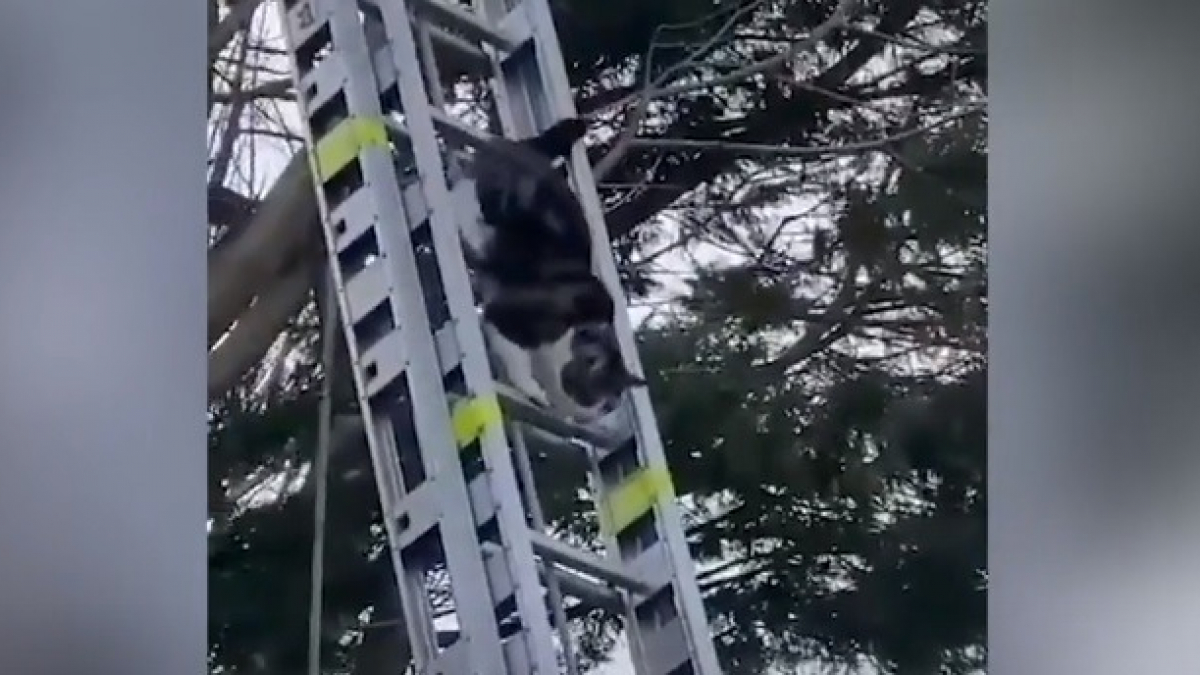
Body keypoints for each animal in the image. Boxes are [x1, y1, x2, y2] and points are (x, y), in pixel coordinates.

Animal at [453, 117, 648, 420]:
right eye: (596, 392)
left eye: (612, 401)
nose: (603, 410)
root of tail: (526, 147)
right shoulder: (508, 316)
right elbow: (514, 355)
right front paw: (534, 392)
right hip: (495, 202)